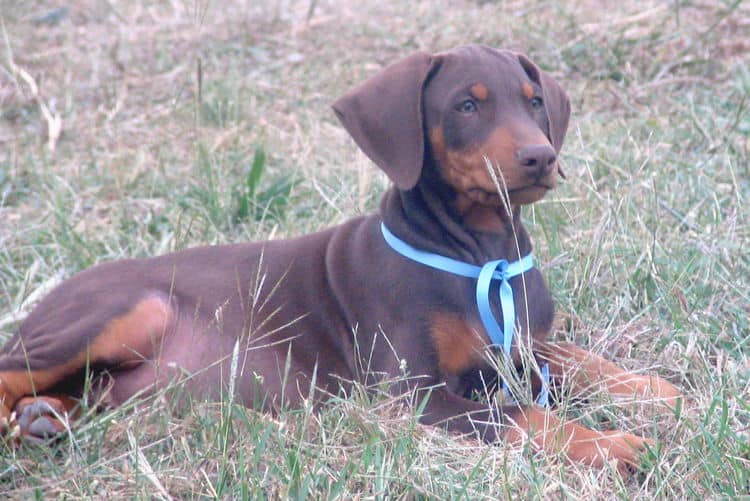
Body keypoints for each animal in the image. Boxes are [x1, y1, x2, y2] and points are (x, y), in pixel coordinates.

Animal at [0, 45, 680, 470]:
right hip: (123, 310)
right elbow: (524, 417)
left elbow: (579, 358)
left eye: (534, 100)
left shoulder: (519, 347)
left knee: (84, 394)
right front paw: (615, 445)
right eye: (467, 105)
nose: (542, 157)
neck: (479, 252)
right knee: (14, 369)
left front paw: (653, 391)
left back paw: (43, 420)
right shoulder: (412, 393)